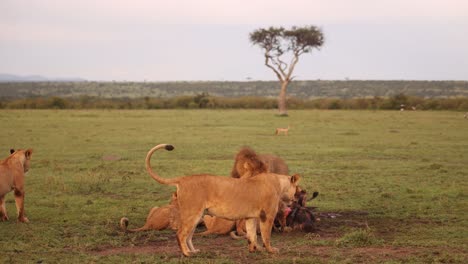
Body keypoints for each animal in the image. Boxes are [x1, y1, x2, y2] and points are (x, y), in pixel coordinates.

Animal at [144, 143, 302, 256]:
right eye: (297, 187)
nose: (298, 195)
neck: (279, 183)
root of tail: (183, 179)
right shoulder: (267, 216)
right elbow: (266, 235)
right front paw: (270, 250)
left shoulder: (251, 217)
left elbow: (252, 235)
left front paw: (254, 250)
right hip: (192, 213)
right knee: (180, 234)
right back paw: (187, 254)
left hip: (197, 215)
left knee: (188, 235)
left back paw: (194, 251)